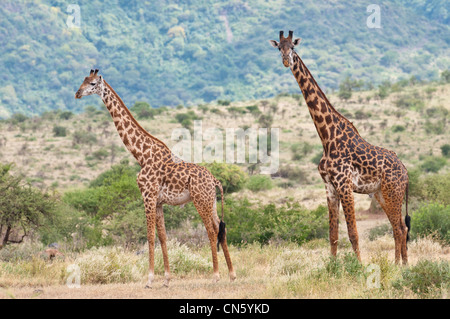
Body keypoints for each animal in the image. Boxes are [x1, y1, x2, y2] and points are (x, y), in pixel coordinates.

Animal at [74, 69, 236, 288]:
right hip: (211, 202)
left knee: (211, 231)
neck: (141, 155)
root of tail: (215, 180)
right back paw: (232, 274)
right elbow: (163, 237)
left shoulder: (148, 196)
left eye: (92, 83)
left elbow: (150, 236)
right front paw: (166, 279)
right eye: (83, 80)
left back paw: (216, 276)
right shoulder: (158, 202)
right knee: (221, 229)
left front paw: (150, 279)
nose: (77, 94)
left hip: (200, 200)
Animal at [270, 30, 412, 264]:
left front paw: (359, 267)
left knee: (400, 228)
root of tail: (405, 170)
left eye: (293, 47)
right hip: (381, 194)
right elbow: (333, 234)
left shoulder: (344, 185)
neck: (327, 138)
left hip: (393, 191)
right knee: (399, 226)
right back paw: (402, 265)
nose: (285, 61)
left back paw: (400, 266)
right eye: (279, 47)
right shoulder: (329, 187)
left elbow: (353, 233)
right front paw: (332, 266)